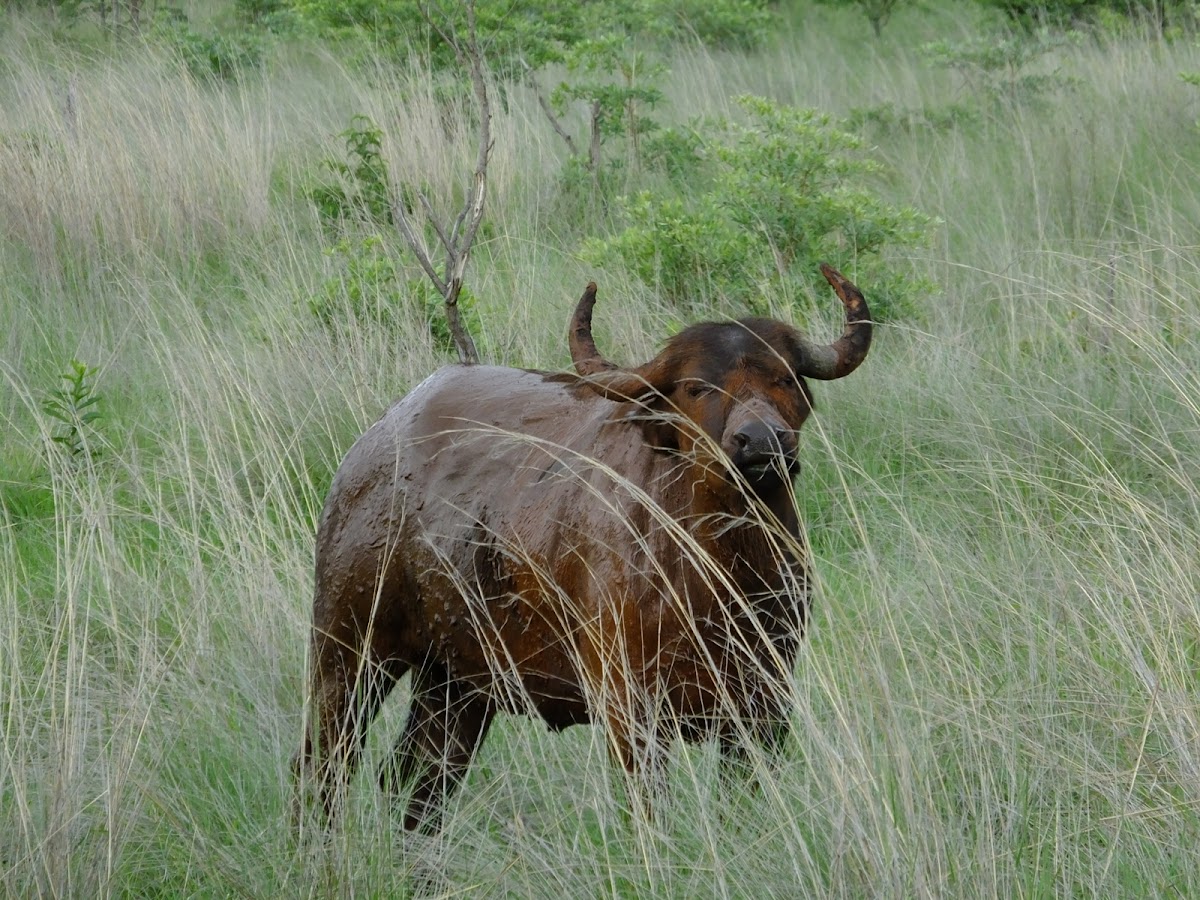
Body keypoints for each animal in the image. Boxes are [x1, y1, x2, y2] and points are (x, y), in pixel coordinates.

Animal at [294, 264, 868, 835]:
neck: (724, 568)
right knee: (324, 764)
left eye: (786, 378)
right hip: (348, 651)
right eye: (695, 387)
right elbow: (649, 811)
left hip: (456, 687)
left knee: (418, 785)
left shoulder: (765, 706)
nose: (762, 441)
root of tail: (369, 450)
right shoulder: (631, 712)